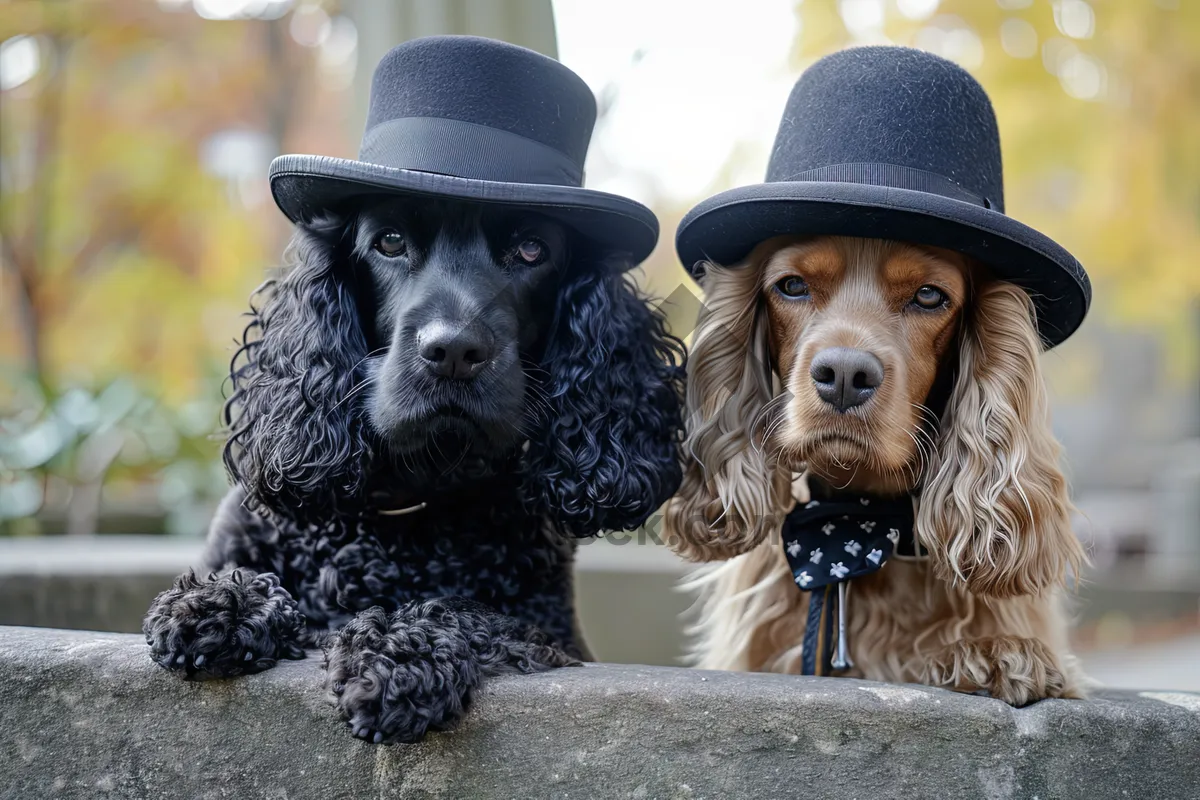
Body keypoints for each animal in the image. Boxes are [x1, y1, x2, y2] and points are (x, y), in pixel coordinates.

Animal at [141, 194, 686, 743]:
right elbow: (246, 575)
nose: (454, 352)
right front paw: (221, 602)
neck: (410, 502)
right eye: (390, 241)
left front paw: (399, 651)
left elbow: (472, 610)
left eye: (532, 250)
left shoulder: (553, 636)